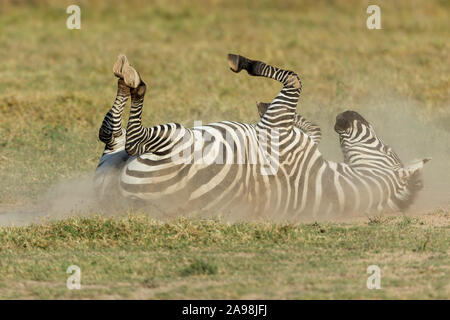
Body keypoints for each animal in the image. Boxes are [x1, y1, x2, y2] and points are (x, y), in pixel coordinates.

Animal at [93, 53, 430, 219]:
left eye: (389, 151)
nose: (348, 114)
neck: (336, 184)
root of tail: (123, 201)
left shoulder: (276, 127)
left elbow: (294, 78)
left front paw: (243, 63)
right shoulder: (284, 129)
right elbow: (313, 126)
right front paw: (267, 106)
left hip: (172, 141)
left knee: (131, 137)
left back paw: (131, 81)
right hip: (110, 164)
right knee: (111, 133)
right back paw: (125, 80)